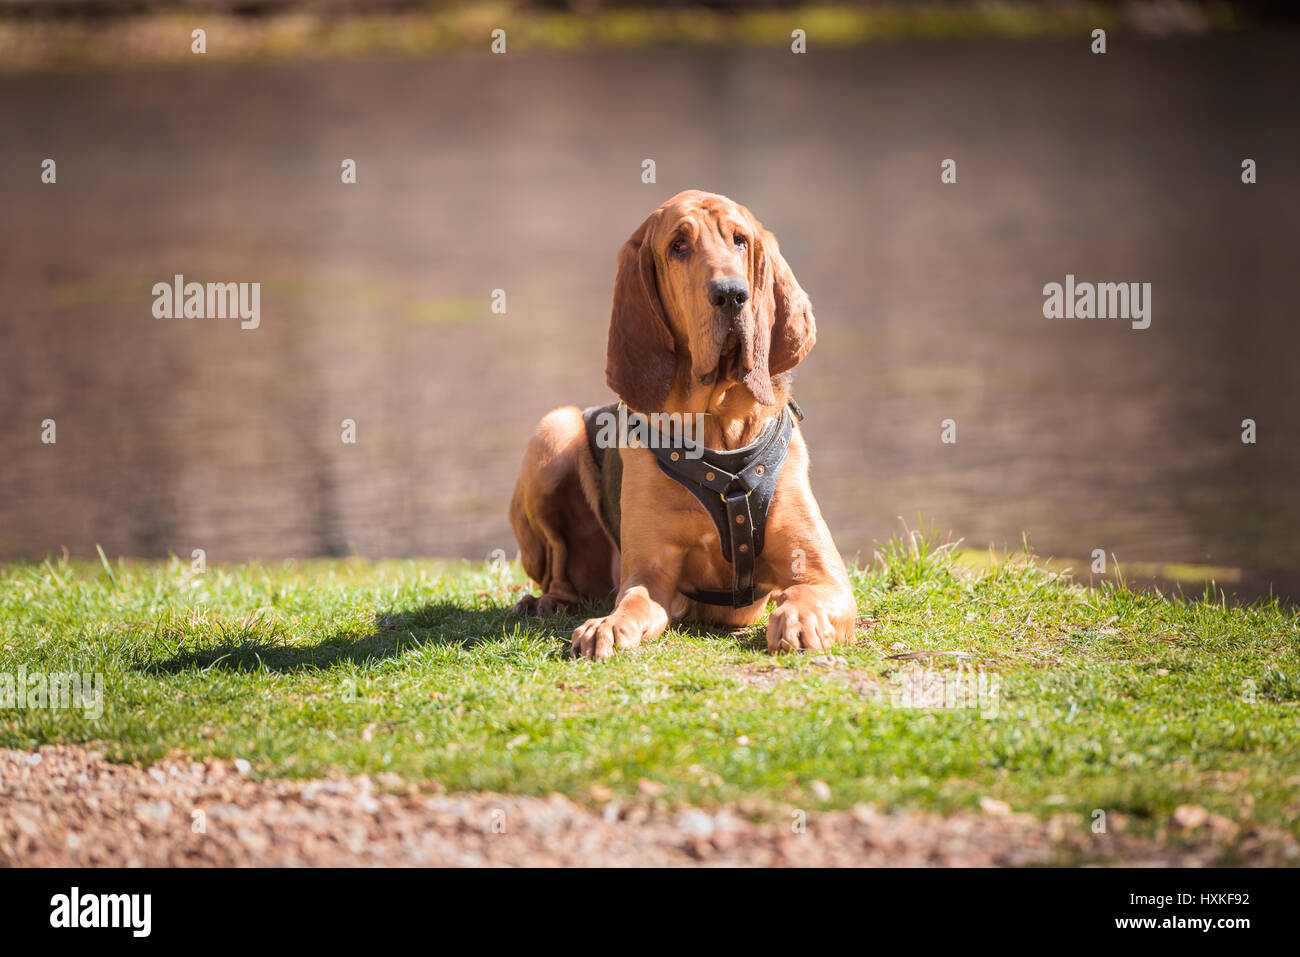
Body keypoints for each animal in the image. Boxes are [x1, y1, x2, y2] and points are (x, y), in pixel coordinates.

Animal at [512, 191, 857, 660]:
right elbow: (632, 602)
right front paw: (607, 627)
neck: (717, 429)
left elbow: (805, 596)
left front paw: (799, 619)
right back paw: (548, 603)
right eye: (678, 246)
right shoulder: (649, 573)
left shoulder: (824, 573)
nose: (731, 295)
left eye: (740, 240)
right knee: (559, 571)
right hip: (554, 428)